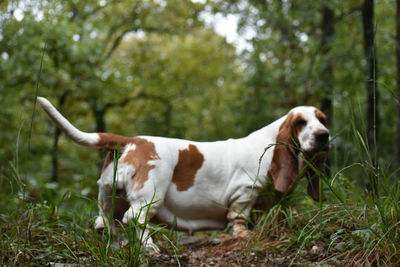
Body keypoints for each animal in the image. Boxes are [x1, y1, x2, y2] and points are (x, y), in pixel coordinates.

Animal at [37, 97, 330, 252]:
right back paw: (150, 249)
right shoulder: (244, 194)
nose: (323, 135)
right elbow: (238, 218)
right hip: (150, 195)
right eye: (301, 122)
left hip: (108, 196)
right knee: (134, 219)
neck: (269, 144)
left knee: (108, 223)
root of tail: (131, 141)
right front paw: (243, 235)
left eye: (323, 119)